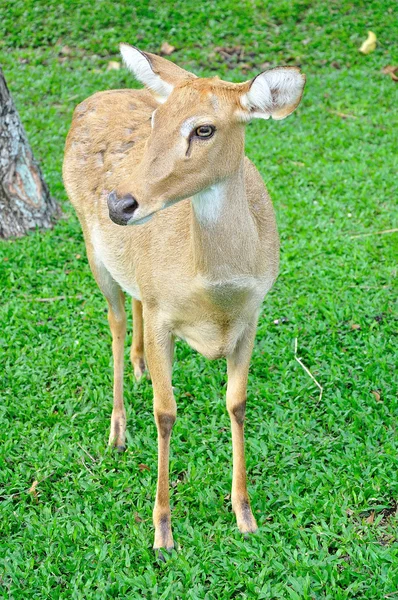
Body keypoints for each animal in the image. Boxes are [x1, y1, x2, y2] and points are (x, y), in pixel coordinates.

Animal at [62, 44, 304, 552]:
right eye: (156, 119)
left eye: (204, 129)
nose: (119, 204)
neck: (215, 293)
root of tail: (93, 97)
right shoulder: (162, 314)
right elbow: (166, 412)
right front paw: (162, 531)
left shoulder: (252, 315)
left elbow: (237, 402)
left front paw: (245, 515)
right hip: (91, 245)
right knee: (115, 321)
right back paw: (117, 430)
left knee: (130, 302)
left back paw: (138, 367)